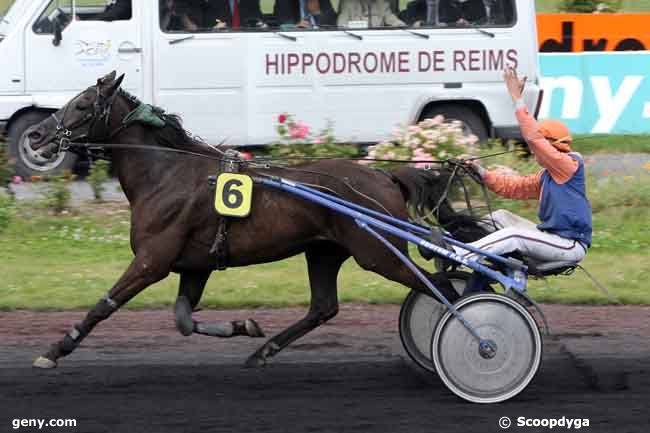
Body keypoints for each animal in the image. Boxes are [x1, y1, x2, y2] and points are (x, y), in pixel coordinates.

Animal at [24, 71, 486, 368]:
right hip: (324, 251)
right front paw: (244, 326)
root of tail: (384, 174)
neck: (166, 173)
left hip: (378, 254)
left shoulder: (152, 261)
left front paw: (54, 351)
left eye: (83, 104)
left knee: (442, 288)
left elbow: (104, 305)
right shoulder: (194, 265)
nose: (35, 135)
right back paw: (262, 352)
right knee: (323, 307)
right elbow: (183, 320)